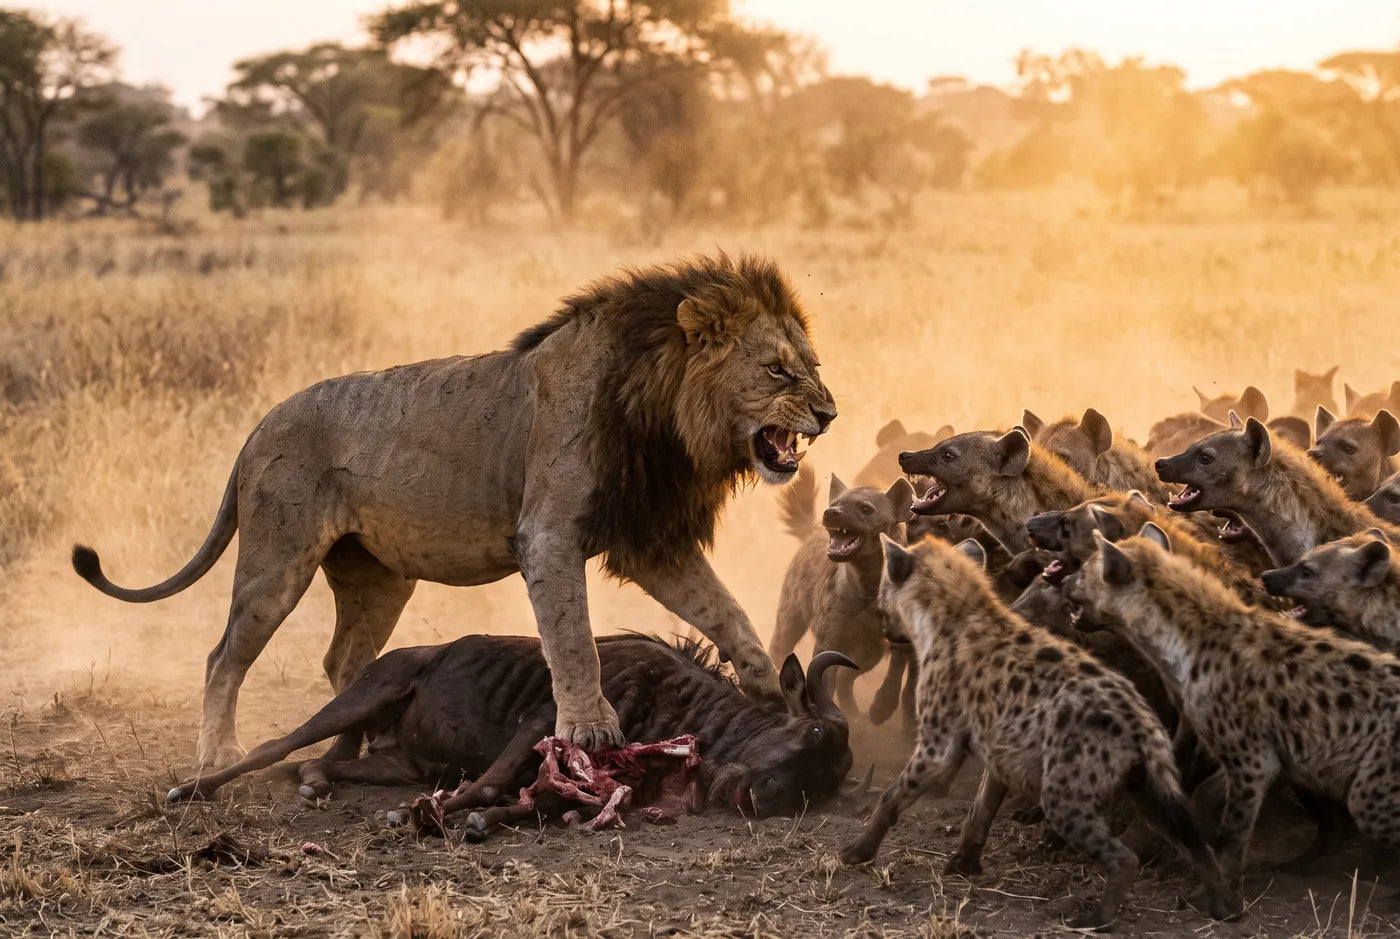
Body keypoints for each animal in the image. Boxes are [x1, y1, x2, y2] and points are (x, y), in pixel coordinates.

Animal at [72, 254, 838, 767]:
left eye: (813, 364)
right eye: (776, 369)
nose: (830, 413)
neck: (664, 415)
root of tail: (258, 428)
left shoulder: (650, 540)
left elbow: (727, 611)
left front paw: (766, 686)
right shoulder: (548, 534)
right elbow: (574, 638)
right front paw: (589, 729)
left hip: (378, 579)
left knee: (343, 657)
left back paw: (374, 734)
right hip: (276, 561)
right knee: (222, 656)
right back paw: (220, 753)